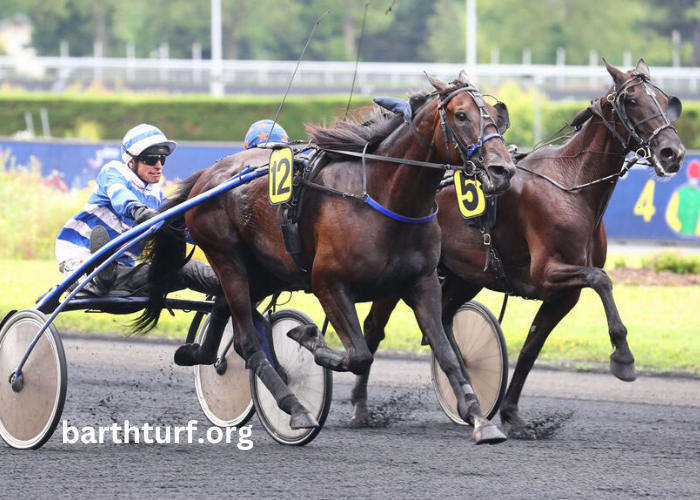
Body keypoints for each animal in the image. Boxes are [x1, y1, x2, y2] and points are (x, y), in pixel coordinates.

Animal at [137, 72, 516, 444]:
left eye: (495, 115)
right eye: (461, 114)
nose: (503, 170)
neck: (383, 198)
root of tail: (207, 175)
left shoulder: (421, 284)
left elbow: (447, 354)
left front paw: (480, 418)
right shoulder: (328, 283)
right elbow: (359, 355)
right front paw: (308, 338)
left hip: (266, 270)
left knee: (222, 309)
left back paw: (198, 354)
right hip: (226, 257)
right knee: (247, 341)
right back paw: (294, 407)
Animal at [358, 58, 688, 436]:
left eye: (663, 100)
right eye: (632, 100)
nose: (673, 153)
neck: (571, 184)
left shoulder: (564, 294)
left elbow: (532, 347)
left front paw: (512, 414)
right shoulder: (547, 273)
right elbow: (601, 279)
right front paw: (624, 358)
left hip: (465, 275)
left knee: (443, 317)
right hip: (401, 274)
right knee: (375, 327)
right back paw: (361, 407)